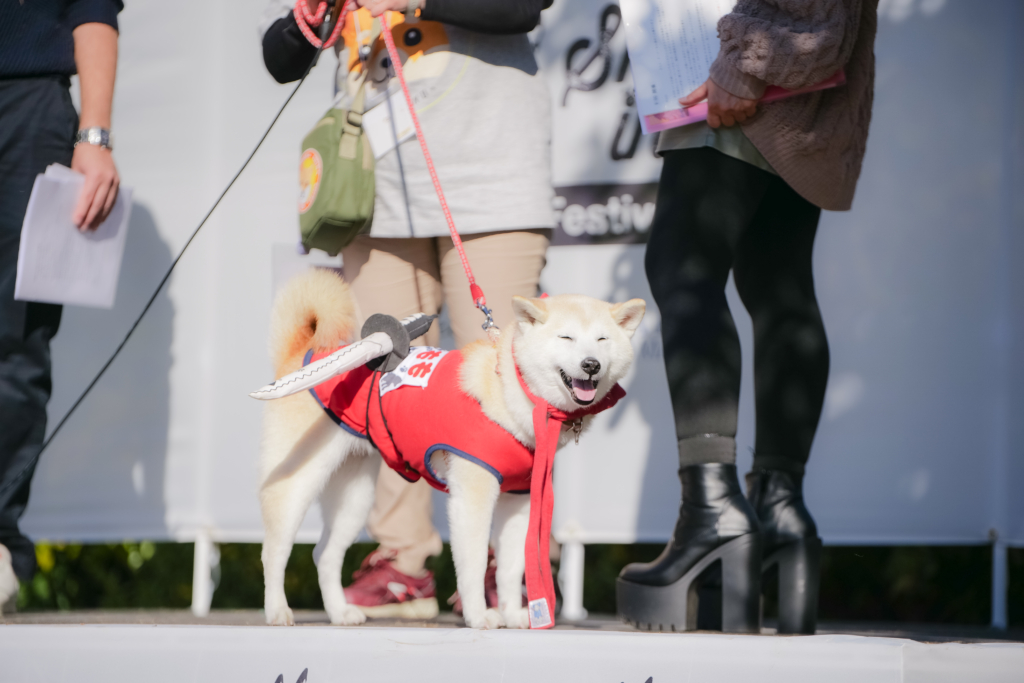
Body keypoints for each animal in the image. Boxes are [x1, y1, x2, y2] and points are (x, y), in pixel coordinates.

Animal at [259, 269, 644, 628]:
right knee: (274, 551)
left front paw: (513, 614)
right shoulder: (472, 497)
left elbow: (507, 570)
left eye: (602, 339)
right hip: (298, 485)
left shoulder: (519, 500)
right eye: (566, 337)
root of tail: (306, 353)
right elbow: (473, 565)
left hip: (354, 498)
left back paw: (339, 612)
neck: (514, 392)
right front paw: (479, 616)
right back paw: (277, 610)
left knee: (324, 554)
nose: (591, 364)